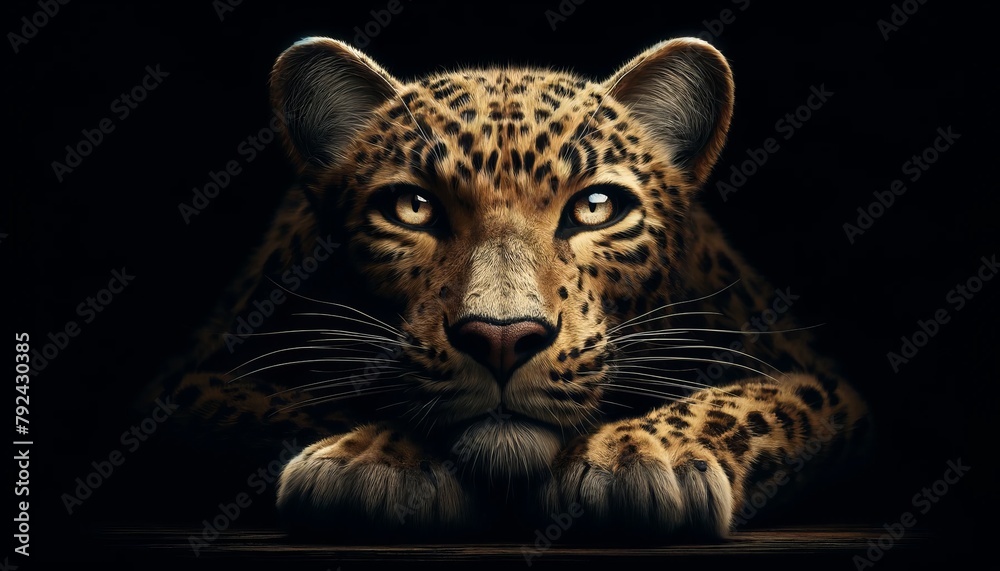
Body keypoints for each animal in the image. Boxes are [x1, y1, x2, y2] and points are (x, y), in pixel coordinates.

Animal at [142, 36, 872, 541]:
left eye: (597, 207)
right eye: (411, 208)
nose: (501, 337)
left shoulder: (817, 374)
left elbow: (763, 398)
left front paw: (642, 456)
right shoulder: (187, 381)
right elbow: (275, 405)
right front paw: (376, 461)